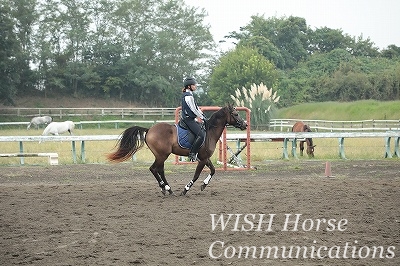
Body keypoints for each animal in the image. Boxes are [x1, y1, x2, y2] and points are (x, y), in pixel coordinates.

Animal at [108, 104, 248, 195]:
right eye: (236, 114)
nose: (245, 125)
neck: (210, 132)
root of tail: (149, 130)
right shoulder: (202, 159)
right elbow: (196, 175)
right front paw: (186, 189)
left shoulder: (204, 158)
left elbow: (213, 171)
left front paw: (204, 184)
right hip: (162, 155)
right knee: (154, 169)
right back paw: (165, 188)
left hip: (161, 156)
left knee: (160, 170)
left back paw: (167, 188)